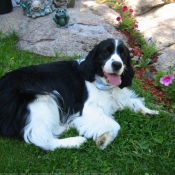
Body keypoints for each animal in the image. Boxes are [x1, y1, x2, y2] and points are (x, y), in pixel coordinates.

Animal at [0, 38, 159, 150]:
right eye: (106, 52)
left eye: (123, 54)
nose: (117, 65)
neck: (102, 82)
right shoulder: (88, 108)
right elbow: (114, 124)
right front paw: (104, 139)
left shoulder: (118, 98)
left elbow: (135, 101)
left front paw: (150, 111)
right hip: (44, 99)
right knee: (41, 139)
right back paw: (75, 140)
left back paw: (66, 126)